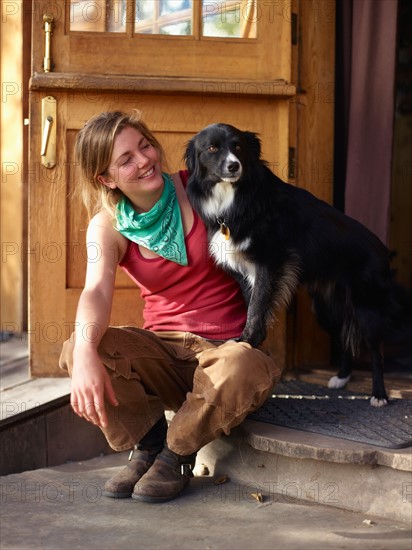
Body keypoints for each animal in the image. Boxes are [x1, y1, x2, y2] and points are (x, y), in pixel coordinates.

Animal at [184, 126, 396, 410]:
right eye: (212, 148)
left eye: (238, 147)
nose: (234, 166)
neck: (234, 196)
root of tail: (383, 250)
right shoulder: (246, 273)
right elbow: (253, 305)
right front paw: (254, 344)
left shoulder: (270, 263)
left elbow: (257, 307)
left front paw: (245, 342)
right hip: (327, 309)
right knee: (342, 338)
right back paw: (341, 378)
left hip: (366, 308)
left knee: (376, 350)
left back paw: (379, 395)